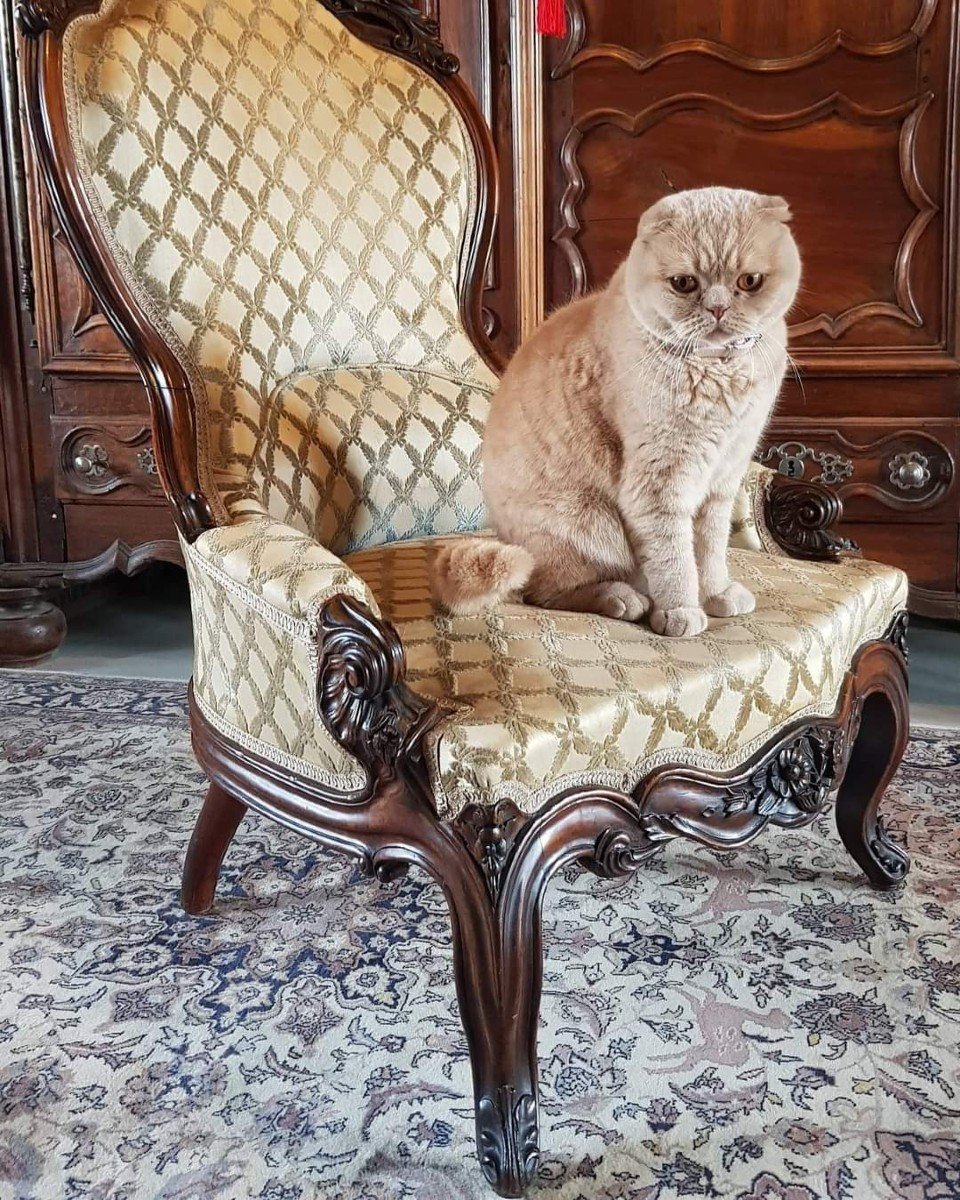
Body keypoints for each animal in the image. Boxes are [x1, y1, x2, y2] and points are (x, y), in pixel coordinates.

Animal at [434, 184, 801, 638]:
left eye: (749, 281)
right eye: (684, 283)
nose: (717, 309)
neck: (721, 374)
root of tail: (505, 537)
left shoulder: (723, 478)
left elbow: (711, 551)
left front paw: (716, 594)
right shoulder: (658, 485)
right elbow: (676, 560)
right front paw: (681, 610)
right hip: (587, 524)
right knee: (545, 591)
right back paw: (623, 598)